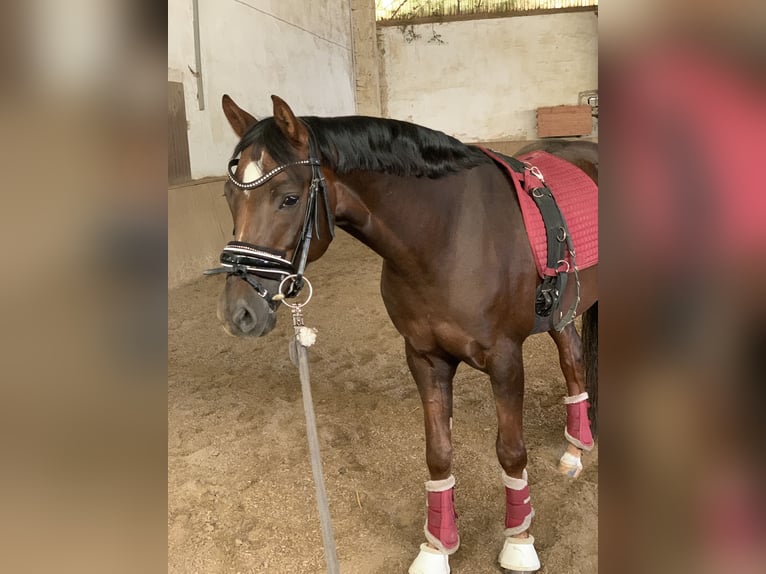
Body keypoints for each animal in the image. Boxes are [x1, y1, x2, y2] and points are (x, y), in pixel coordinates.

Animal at [213, 95, 596, 574]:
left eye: (288, 198)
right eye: (229, 195)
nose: (239, 311)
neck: (446, 237)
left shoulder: (506, 360)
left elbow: (511, 450)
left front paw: (519, 540)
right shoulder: (424, 357)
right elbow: (438, 453)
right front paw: (437, 547)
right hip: (563, 310)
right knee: (574, 358)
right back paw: (574, 452)